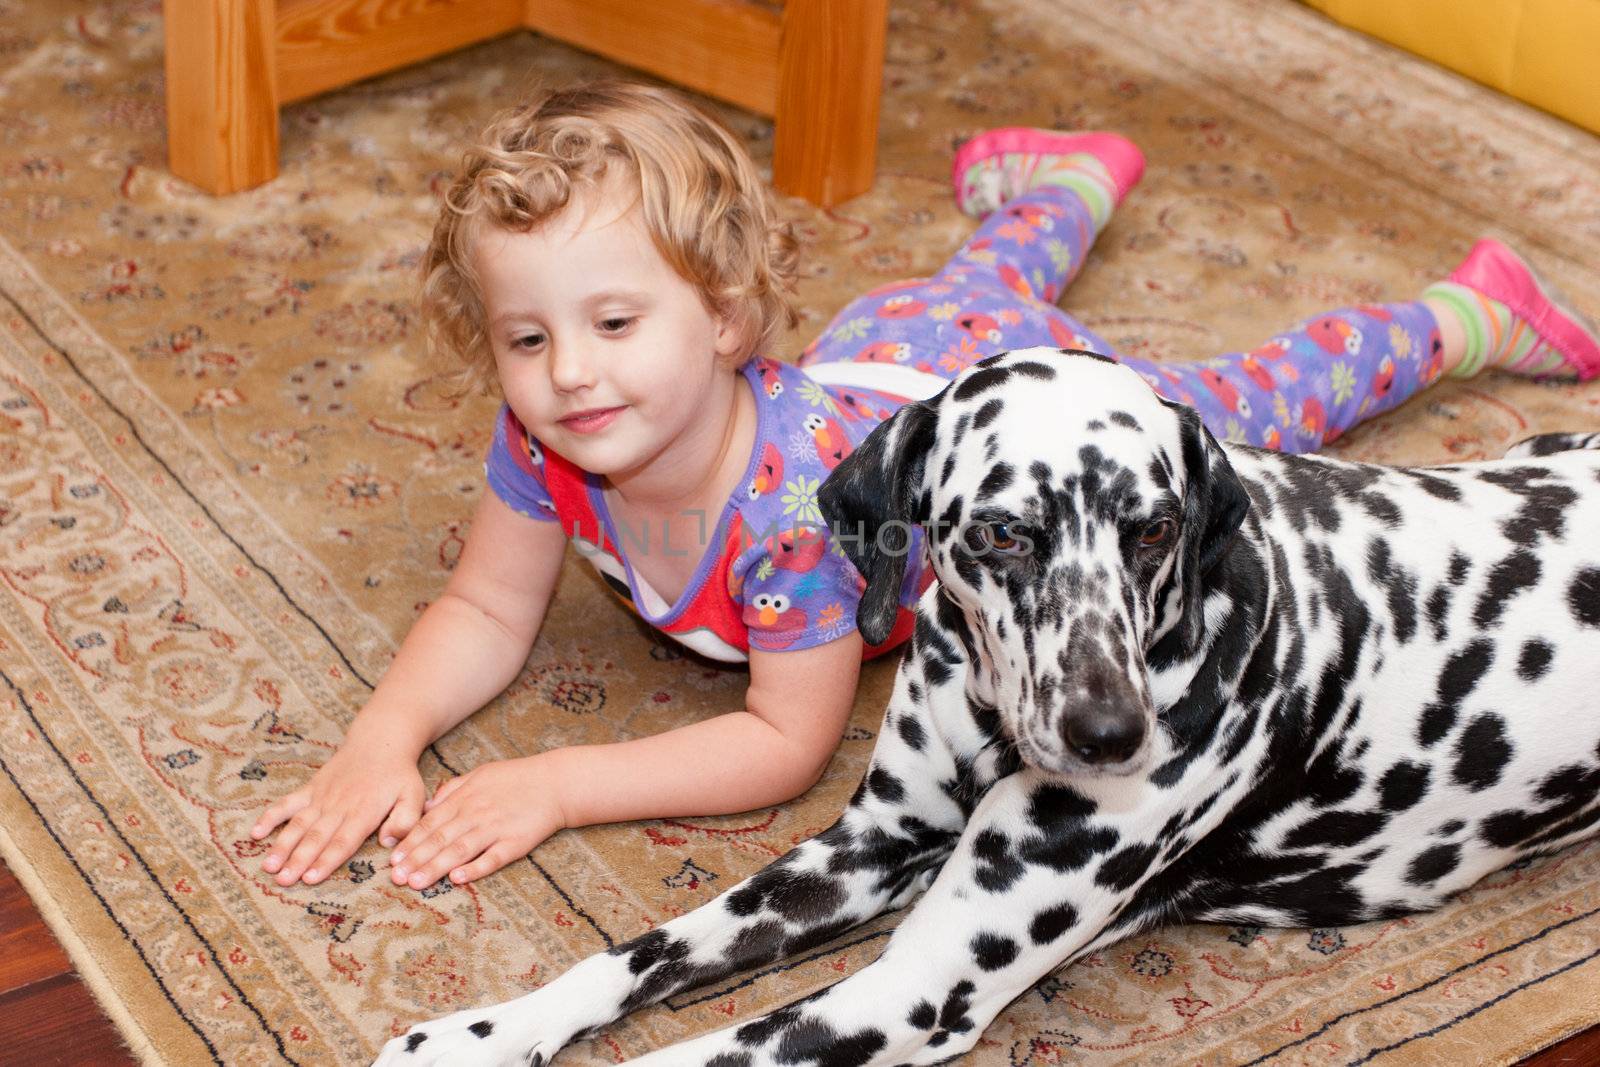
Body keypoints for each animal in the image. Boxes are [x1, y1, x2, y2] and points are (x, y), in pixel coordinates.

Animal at [377, 347, 1600, 1062]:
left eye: (1154, 528)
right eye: (1006, 531)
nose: (1111, 735)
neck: (985, 718)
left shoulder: (914, 986)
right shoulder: (859, 850)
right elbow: (638, 955)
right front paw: (484, 1031)